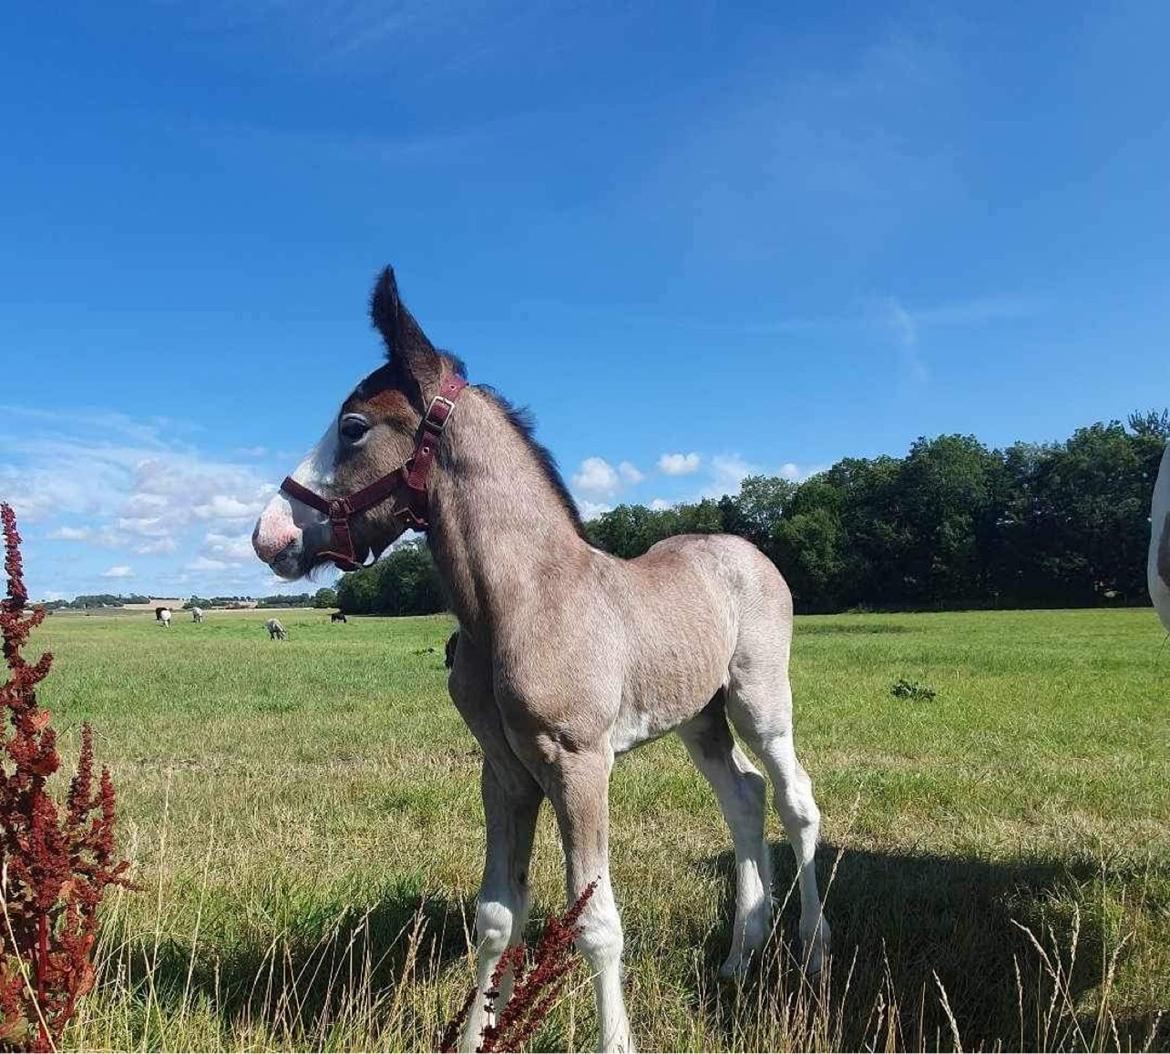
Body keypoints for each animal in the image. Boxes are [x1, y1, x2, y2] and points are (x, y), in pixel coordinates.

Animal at [251, 267, 828, 1048]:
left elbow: (595, 923)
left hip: (758, 699)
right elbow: (498, 915)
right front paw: (475, 1034)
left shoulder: (577, 764)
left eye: (353, 427)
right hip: (698, 718)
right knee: (743, 797)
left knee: (795, 799)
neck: (522, 600)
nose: (269, 535)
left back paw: (813, 953)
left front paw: (616, 1040)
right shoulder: (504, 772)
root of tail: (744, 550)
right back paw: (741, 956)